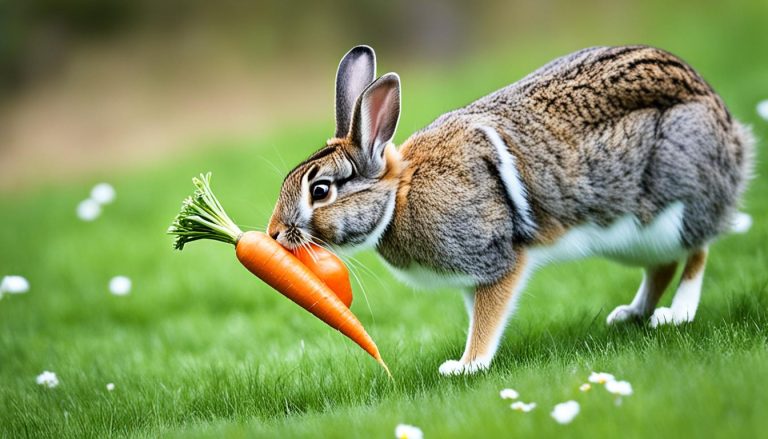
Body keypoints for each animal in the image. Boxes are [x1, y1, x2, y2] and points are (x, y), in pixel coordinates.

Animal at [267, 45, 754, 375]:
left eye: (321, 190)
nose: (273, 234)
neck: (399, 194)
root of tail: (734, 135)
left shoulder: (498, 259)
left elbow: (487, 319)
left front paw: (466, 366)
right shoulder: (472, 277)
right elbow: (476, 314)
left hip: (677, 203)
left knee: (696, 251)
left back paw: (677, 314)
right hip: (633, 238)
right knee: (662, 266)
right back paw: (631, 314)